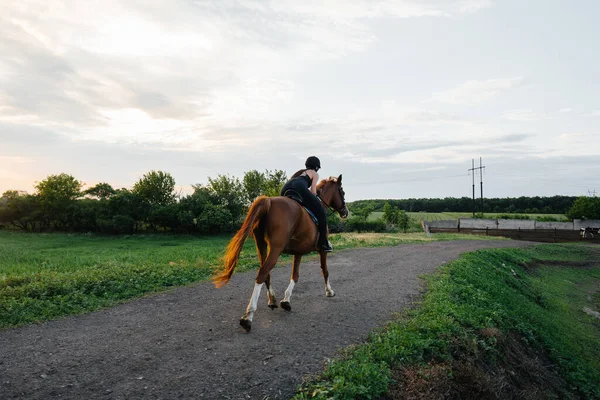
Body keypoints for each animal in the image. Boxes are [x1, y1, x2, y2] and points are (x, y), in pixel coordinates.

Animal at [214, 174, 350, 332]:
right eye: (342, 192)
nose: (345, 212)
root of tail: (269, 201)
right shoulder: (322, 250)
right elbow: (325, 271)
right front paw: (329, 291)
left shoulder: (298, 252)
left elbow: (295, 276)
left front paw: (286, 300)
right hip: (276, 248)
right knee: (263, 272)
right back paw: (248, 317)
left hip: (261, 245)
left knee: (265, 273)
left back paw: (272, 300)